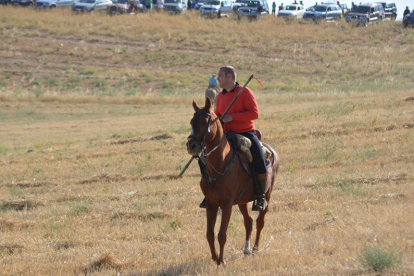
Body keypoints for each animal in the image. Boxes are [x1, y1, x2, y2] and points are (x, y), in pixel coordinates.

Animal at [187, 96, 278, 266]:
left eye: (204, 121)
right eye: (191, 122)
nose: (191, 145)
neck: (221, 162)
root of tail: (271, 150)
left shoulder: (227, 204)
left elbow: (222, 234)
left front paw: (221, 261)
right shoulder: (211, 203)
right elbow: (209, 233)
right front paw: (215, 257)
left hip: (267, 195)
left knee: (259, 222)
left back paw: (255, 249)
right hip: (243, 200)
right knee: (249, 221)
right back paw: (246, 249)